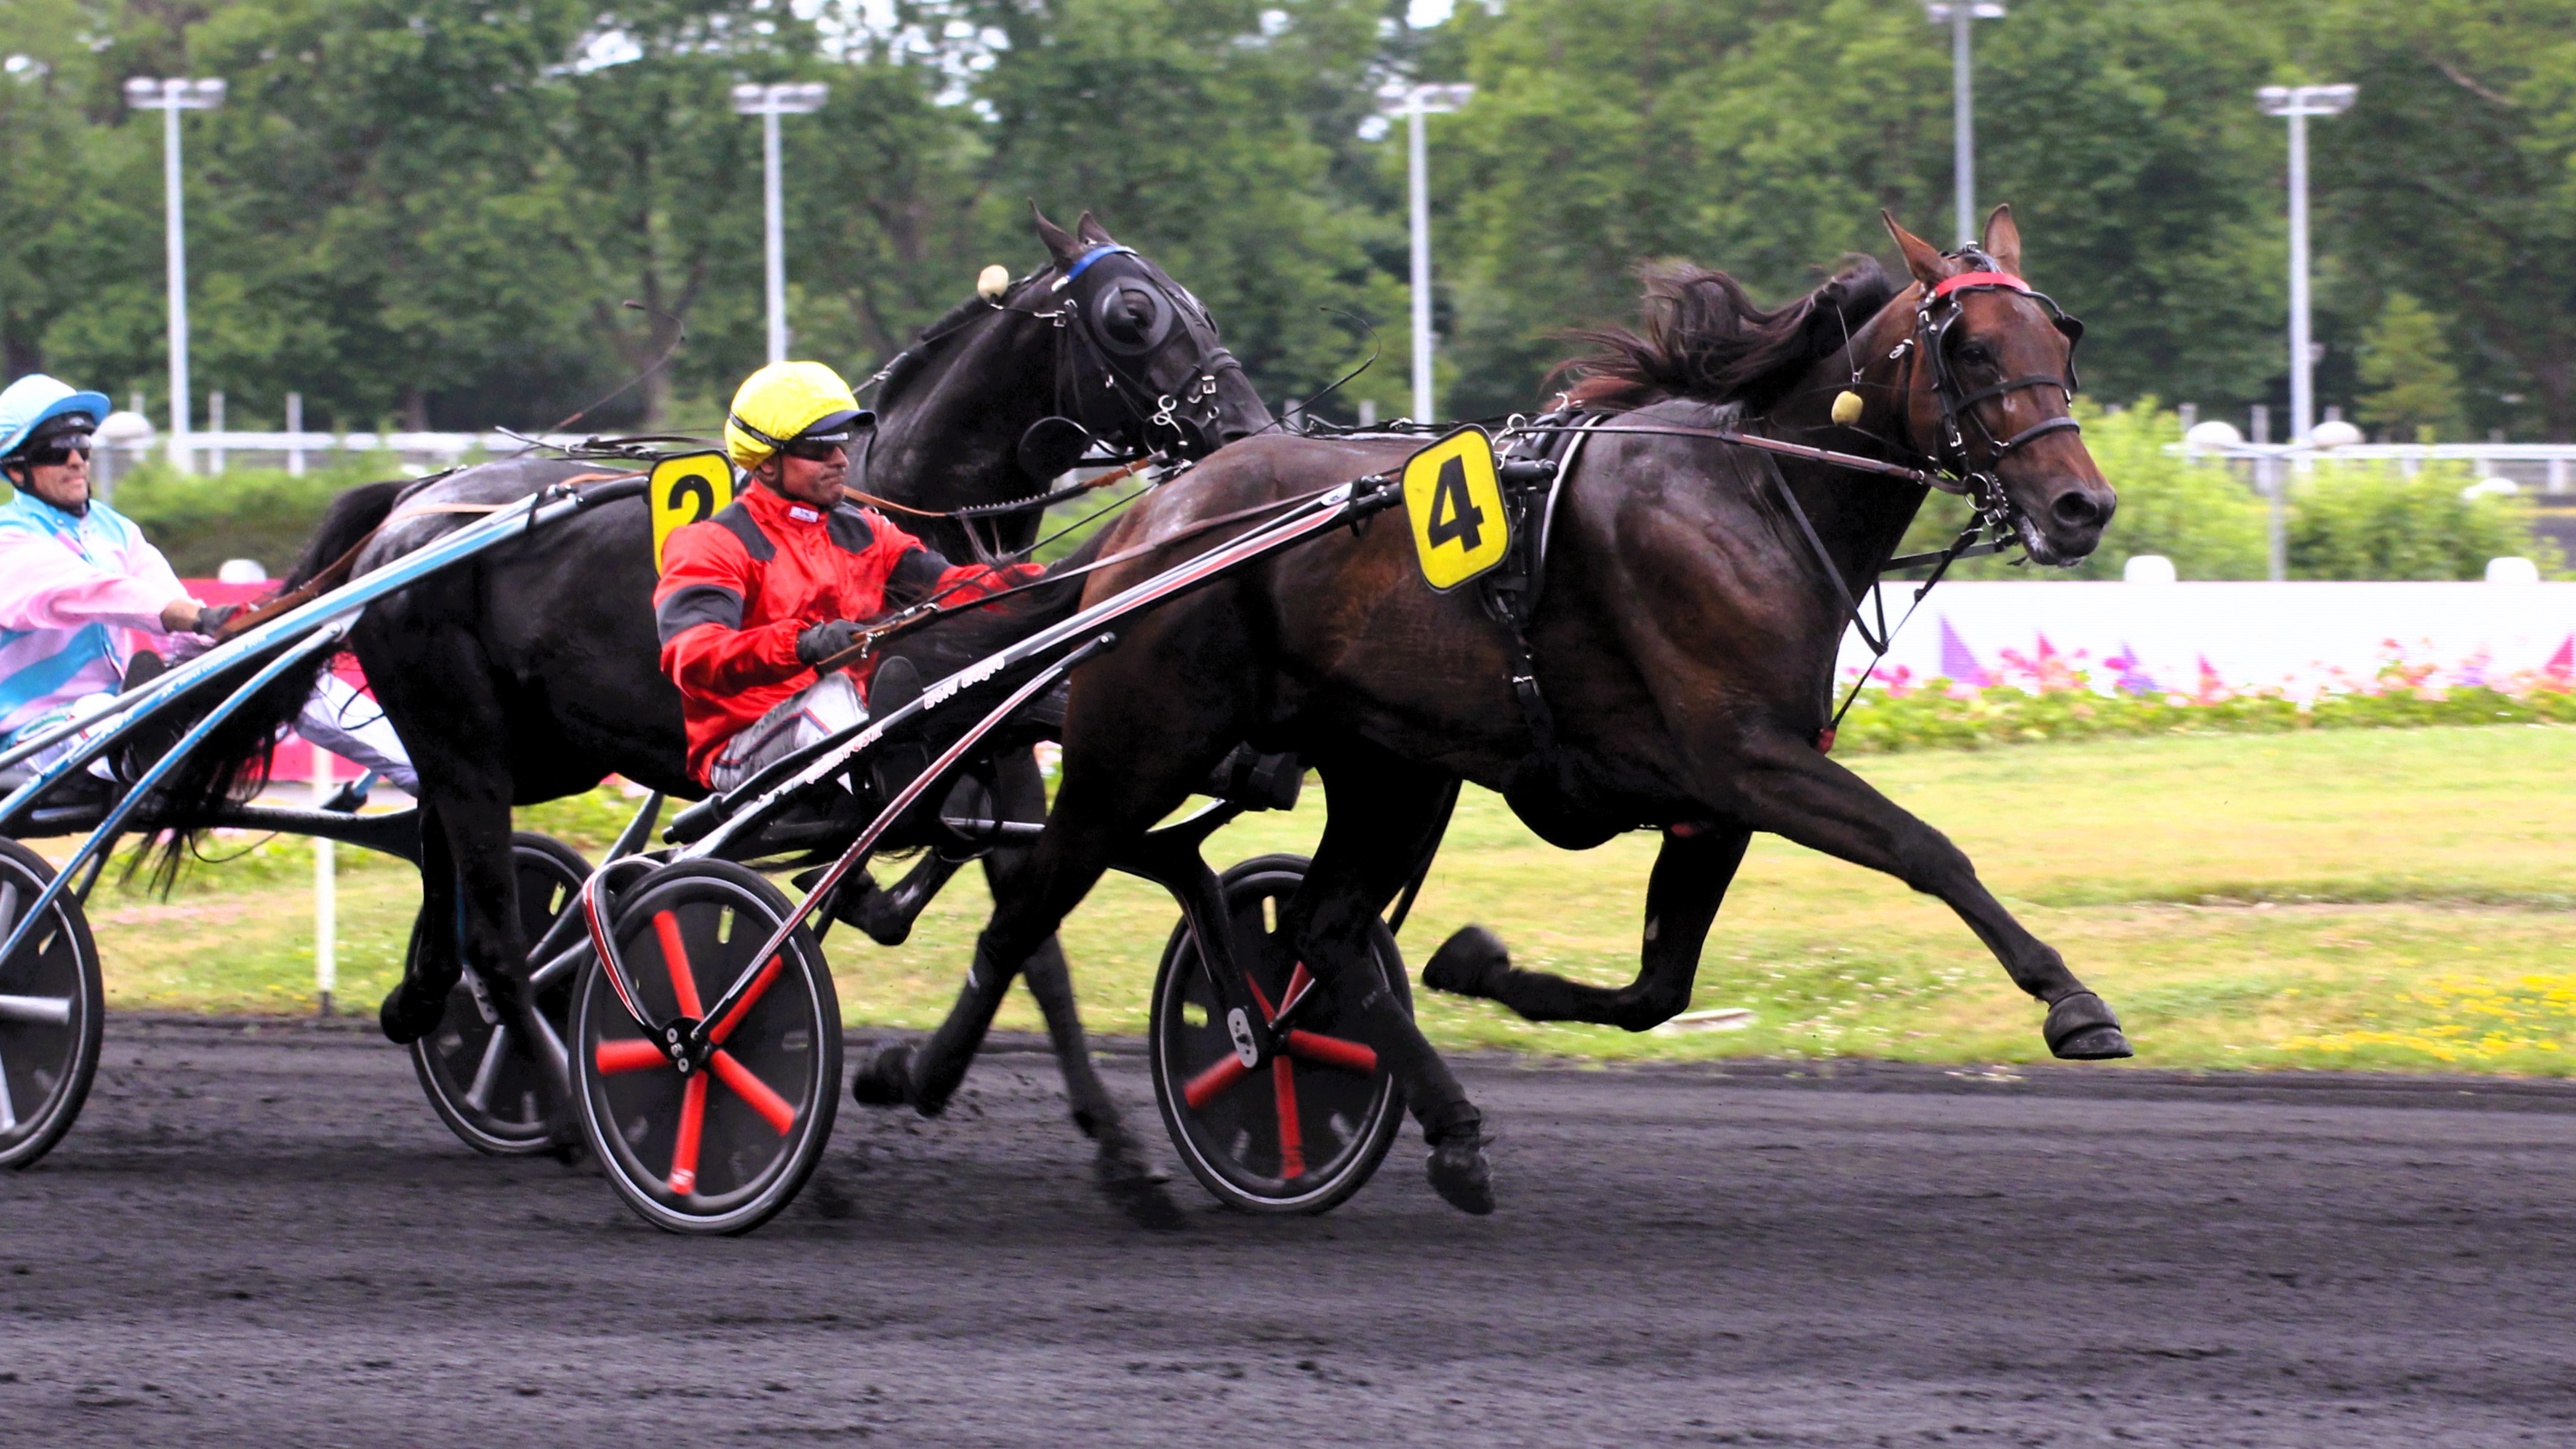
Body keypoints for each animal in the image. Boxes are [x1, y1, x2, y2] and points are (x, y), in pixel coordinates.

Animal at [161, 200, 1267, 1196]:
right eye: (1132, 314)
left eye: (1203, 304)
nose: (1246, 431)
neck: (901, 501)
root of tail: (410, 506)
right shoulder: (913, 738)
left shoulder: (995, 737)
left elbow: (1026, 926)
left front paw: (1104, 1141)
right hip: (467, 738)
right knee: (496, 934)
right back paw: (569, 1109)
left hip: (530, 749)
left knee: (448, 861)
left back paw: (428, 1001)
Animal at [855, 209, 2122, 1211]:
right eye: (1967, 345)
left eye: (2058, 335)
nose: (2082, 505)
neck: (1750, 492)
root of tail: (1151, 519)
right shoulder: (1747, 759)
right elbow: (1928, 848)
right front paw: (2071, 1000)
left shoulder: (1713, 799)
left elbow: (1657, 990)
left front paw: (1477, 966)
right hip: (1140, 743)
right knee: (1029, 908)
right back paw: (922, 1077)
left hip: (1391, 765)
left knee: (1319, 927)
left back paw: (1434, 1121)